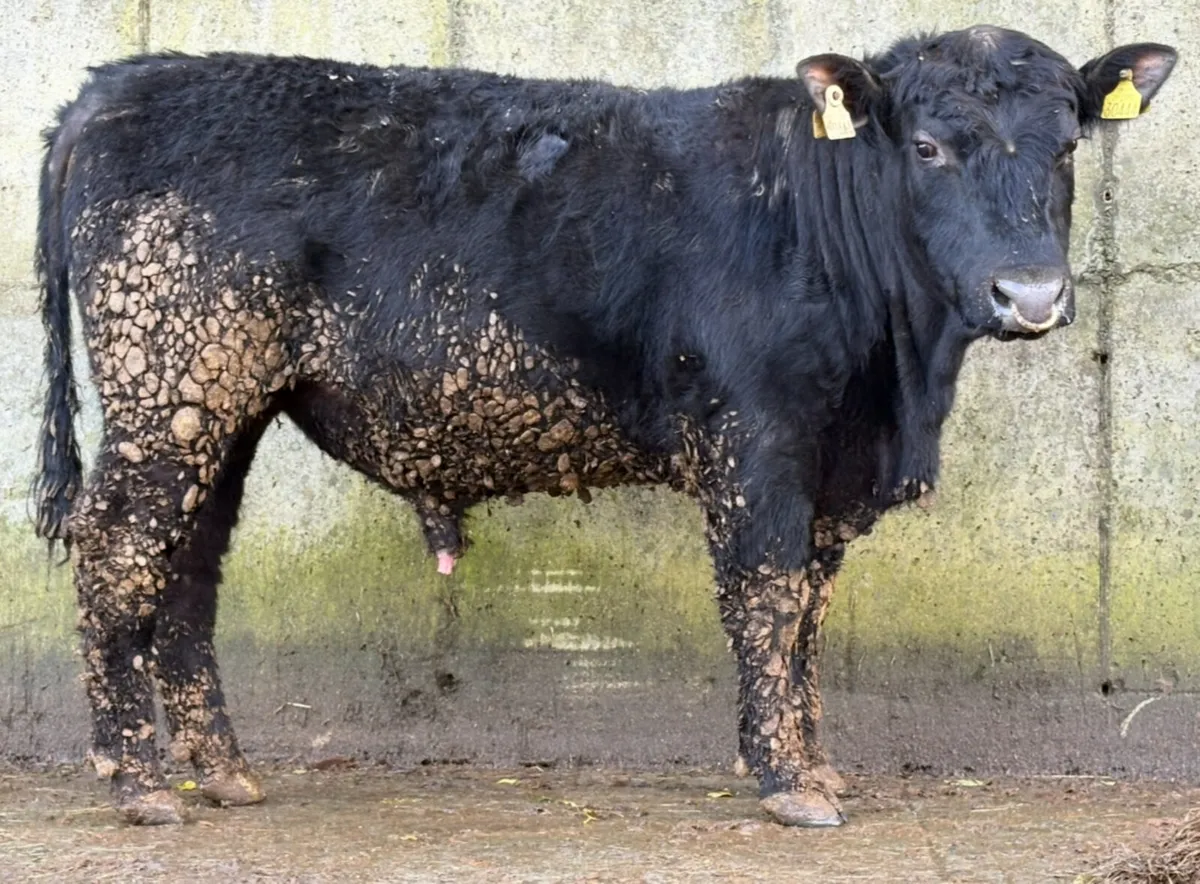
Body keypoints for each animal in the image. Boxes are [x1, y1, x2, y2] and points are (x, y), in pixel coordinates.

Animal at [32, 25, 1175, 827]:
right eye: (930, 146)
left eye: (1068, 145)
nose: (1032, 294)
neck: (895, 391)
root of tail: (114, 87)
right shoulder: (758, 442)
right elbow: (768, 602)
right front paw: (786, 781)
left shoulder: (827, 473)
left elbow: (808, 613)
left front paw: (815, 759)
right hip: (171, 384)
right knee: (117, 550)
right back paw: (139, 780)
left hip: (220, 406)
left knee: (187, 566)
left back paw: (224, 771)